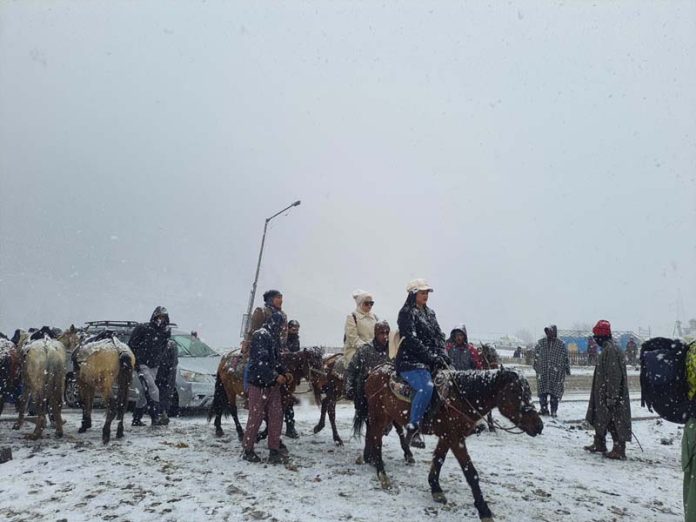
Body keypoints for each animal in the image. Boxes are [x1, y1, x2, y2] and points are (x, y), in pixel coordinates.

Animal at [354, 364, 544, 516]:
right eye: (515, 392)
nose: (539, 425)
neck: (460, 399)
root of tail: (373, 371)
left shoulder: (447, 438)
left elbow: (438, 460)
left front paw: (435, 489)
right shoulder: (455, 439)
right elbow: (471, 473)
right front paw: (484, 510)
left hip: (382, 417)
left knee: (372, 435)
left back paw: (369, 459)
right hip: (379, 416)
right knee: (377, 440)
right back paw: (382, 474)